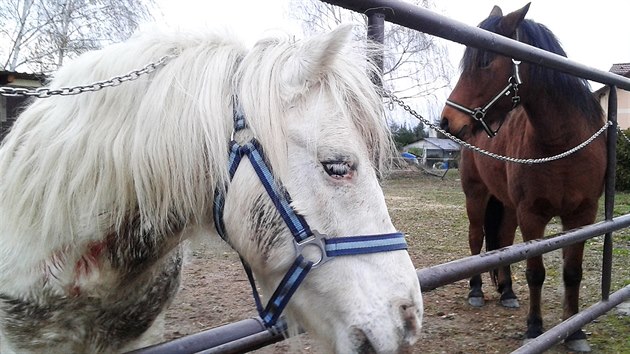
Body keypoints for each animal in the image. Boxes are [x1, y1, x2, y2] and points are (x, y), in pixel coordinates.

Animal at [442, 4, 608, 352]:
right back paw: (476, 291)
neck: (562, 145)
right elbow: (535, 272)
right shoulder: (532, 215)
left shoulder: (582, 216)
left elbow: (572, 272)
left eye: (486, 61)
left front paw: (574, 331)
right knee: (476, 239)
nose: (447, 120)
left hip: (505, 205)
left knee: (503, 241)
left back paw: (507, 292)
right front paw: (534, 328)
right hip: (476, 196)